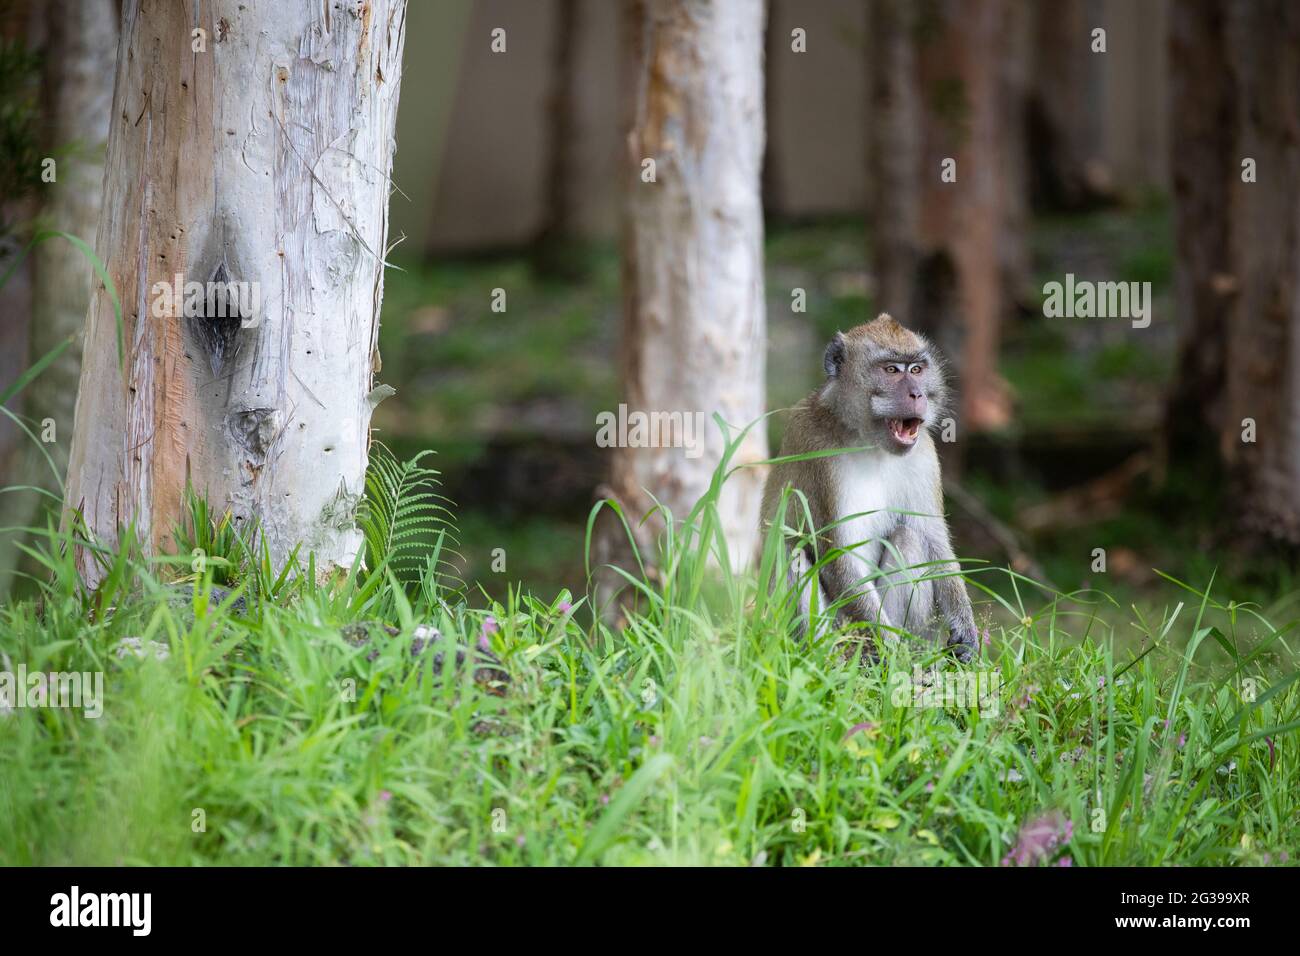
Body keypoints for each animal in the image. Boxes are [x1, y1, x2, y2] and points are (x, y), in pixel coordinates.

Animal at [759, 313, 978, 662]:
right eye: (891, 370)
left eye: (917, 369)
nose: (918, 394)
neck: (867, 440)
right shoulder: (816, 454)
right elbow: (838, 557)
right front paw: (892, 651)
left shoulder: (923, 454)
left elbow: (932, 539)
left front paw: (965, 630)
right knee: (792, 551)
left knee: (908, 538)